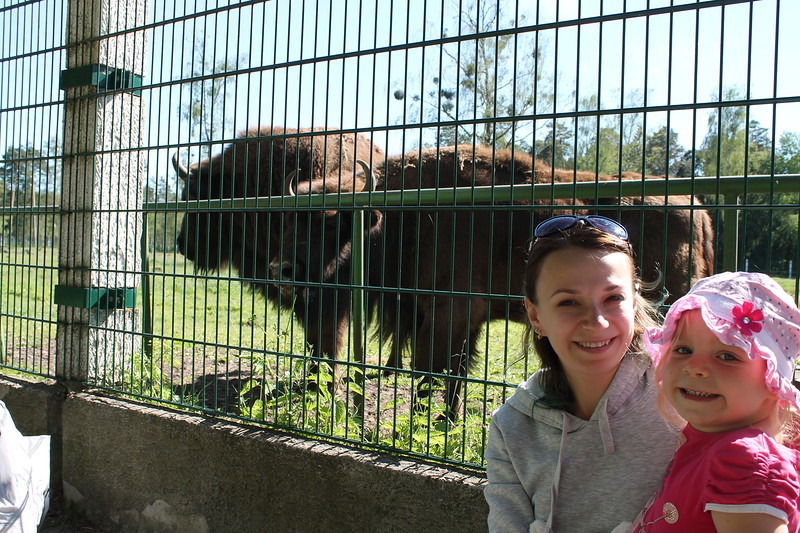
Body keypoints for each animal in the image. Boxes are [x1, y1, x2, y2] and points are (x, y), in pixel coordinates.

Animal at [268, 145, 712, 420]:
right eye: (288, 221)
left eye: (329, 223)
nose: (281, 270)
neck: (400, 215)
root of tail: (698, 210)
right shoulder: (461, 321)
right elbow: (453, 374)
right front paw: (444, 422)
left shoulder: (449, 313)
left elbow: (434, 372)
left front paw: (426, 424)